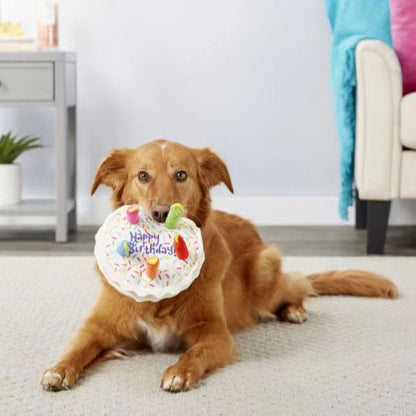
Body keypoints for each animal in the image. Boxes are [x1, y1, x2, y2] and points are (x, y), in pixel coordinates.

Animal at [40, 140, 398, 394]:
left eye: (181, 175)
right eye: (142, 176)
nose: (160, 213)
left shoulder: (215, 333)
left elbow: (194, 354)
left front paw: (178, 373)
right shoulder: (101, 326)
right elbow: (78, 347)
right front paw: (59, 369)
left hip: (265, 269)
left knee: (295, 285)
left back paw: (294, 310)